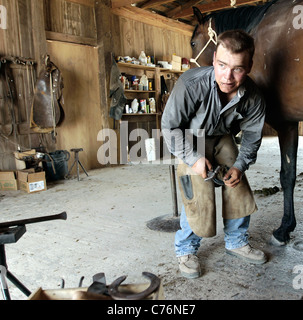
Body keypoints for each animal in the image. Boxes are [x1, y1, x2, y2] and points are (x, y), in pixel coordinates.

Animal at [191, 0, 303, 244]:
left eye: (193, 42)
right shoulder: (290, 123)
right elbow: (290, 175)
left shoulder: (285, 123)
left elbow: (286, 176)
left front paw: (284, 228)